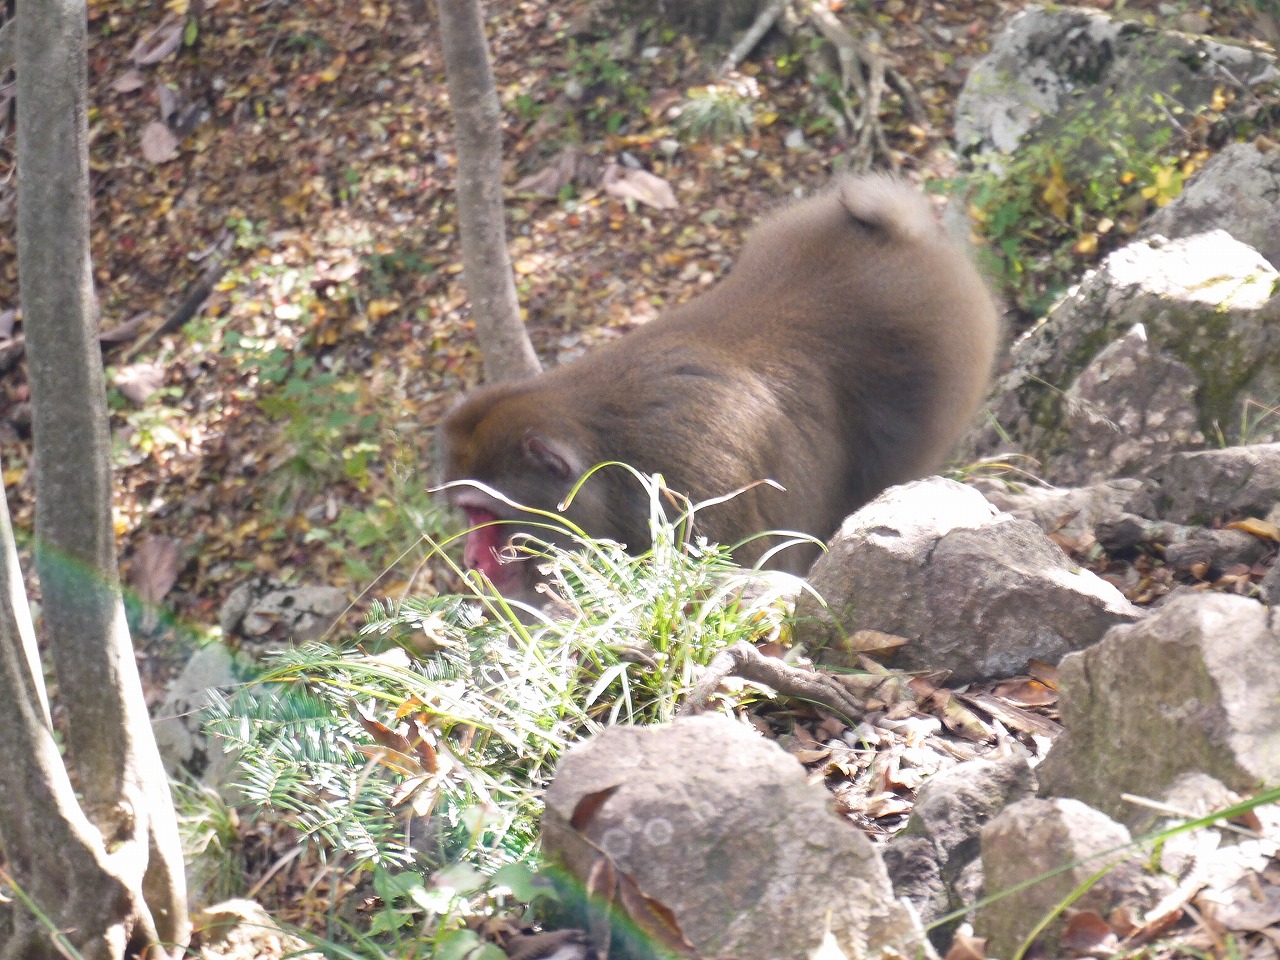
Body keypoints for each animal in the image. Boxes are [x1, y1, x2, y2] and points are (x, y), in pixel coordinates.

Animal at [441, 174, 1000, 602]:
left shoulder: (692, 489)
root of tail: (900, 234)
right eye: (467, 514)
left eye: (485, 513)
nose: (472, 559)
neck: (607, 459)